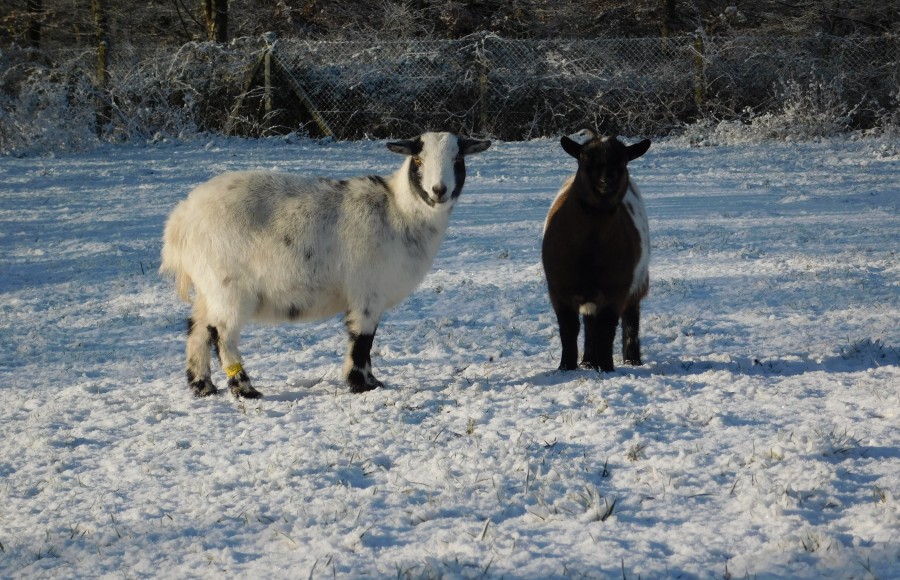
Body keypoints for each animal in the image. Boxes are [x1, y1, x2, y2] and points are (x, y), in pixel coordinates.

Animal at [158, 132, 488, 396]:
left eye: (458, 158)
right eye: (417, 160)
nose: (438, 190)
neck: (399, 210)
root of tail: (182, 217)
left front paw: (371, 381)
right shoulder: (367, 292)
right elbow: (362, 339)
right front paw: (361, 384)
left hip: (208, 287)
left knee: (197, 328)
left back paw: (203, 386)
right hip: (228, 285)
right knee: (222, 334)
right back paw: (245, 389)